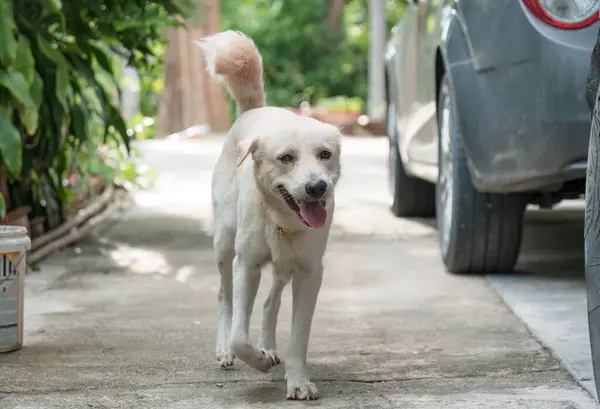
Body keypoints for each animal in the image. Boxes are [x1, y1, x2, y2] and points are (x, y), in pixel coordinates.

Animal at [199, 31, 342, 398]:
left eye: (325, 154)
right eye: (286, 158)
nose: (317, 187)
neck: (283, 222)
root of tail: (256, 109)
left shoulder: (309, 273)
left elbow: (299, 337)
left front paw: (298, 380)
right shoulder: (246, 265)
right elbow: (240, 336)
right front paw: (257, 360)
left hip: (283, 265)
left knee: (269, 302)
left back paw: (268, 345)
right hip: (224, 245)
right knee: (224, 295)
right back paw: (225, 348)